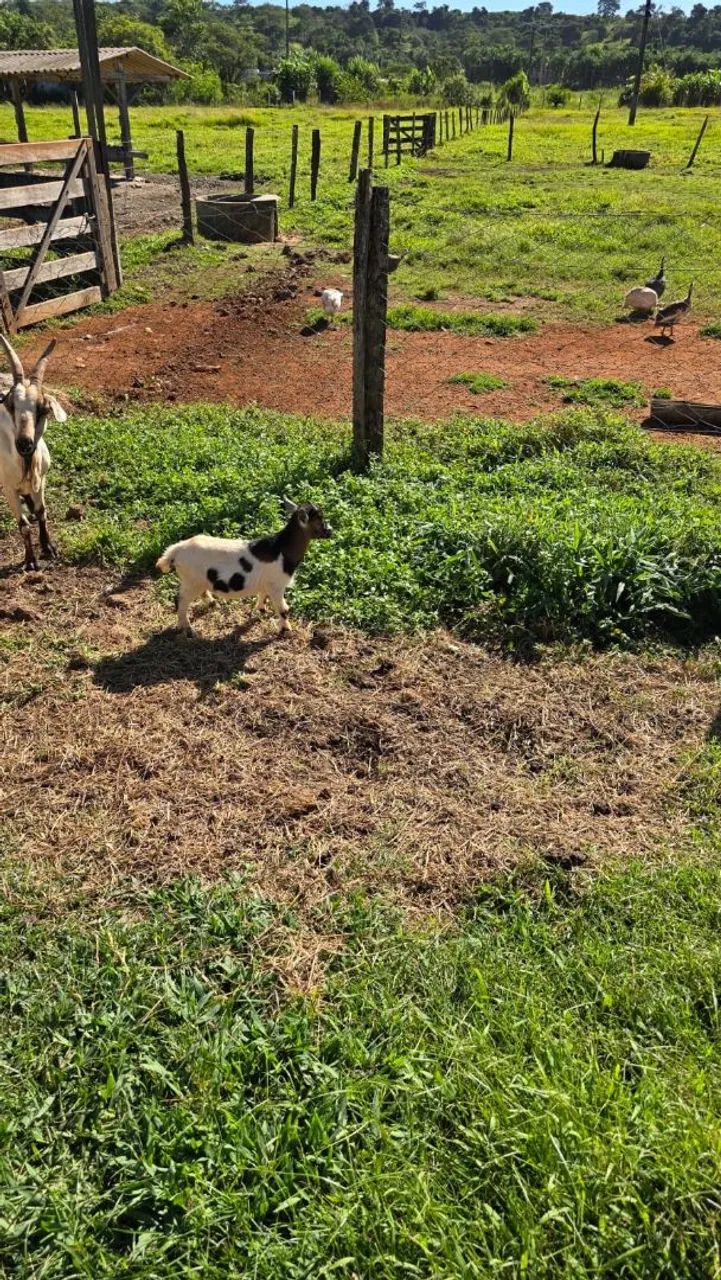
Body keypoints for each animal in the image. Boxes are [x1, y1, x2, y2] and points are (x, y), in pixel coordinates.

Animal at [0, 334, 66, 571]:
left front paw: (49, 547)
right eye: (11, 405)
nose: (24, 444)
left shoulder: (42, 480)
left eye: (43, 408)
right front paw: (30, 561)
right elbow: (24, 525)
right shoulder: (8, 489)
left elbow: (41, 512)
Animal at [156, 499, 333, 635]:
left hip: (198, 579)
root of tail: (176, 550)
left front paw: (261, 610)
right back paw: (187, 629)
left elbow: (262, 595)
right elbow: (283, 609)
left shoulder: (266, 583)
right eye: (319, 518)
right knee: (180, 600)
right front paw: (286, 630)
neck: (281, 550)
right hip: (190, 580)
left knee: (201, 592)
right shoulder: (277, 585)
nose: (330, 531)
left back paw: (214, 604)